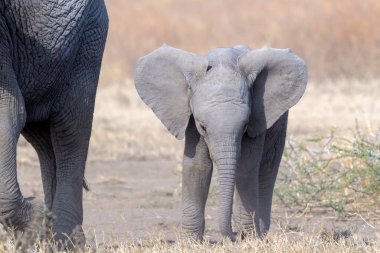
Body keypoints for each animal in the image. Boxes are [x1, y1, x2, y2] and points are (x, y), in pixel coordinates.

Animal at [0, 0, 108, 245]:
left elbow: (7, 110)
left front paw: (37, 219)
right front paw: (39, 223)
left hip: (89, 40)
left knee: (70, 133)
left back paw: (64, 240)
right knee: (45, 142)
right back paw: (51, 236)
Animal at [135, 45, 308, 241]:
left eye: (244, 126)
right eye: (203, 126)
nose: (234, 235)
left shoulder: (257, 117)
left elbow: (246, 167)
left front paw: (248, 239)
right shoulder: (192, 120)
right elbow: (197, 166)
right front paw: (191, 242)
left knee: (267, 168)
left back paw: (261, 234)